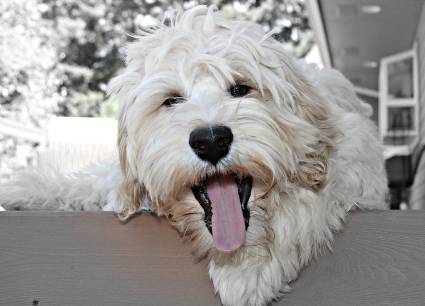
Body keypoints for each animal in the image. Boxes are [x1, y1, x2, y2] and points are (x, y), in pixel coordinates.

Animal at [1, 5, 388, 306]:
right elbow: (97, 181)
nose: (212, 140)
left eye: (241, 88)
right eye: (172, 99)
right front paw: (24, 189)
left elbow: (311, 196)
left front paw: (246, 270)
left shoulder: (357, 156)